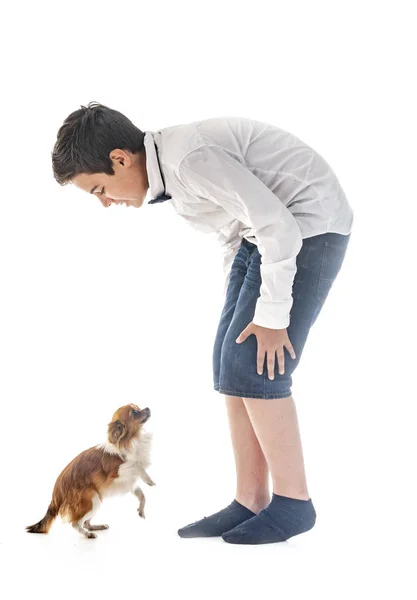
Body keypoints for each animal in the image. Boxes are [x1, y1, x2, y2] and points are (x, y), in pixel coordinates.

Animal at [26, 404, 154, 540]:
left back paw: (96, 527)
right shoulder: (118, 472)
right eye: (135, 412)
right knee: (76, 523)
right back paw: (88, 534)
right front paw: (149, 480)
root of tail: (56, 493)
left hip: (96, 500)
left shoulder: (128, 483)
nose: (148, 408)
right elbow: (136, 465)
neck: (133, 440)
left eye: (138, 407)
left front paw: (141, 510)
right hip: (91, 499)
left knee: (86, 523)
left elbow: (142, 495)